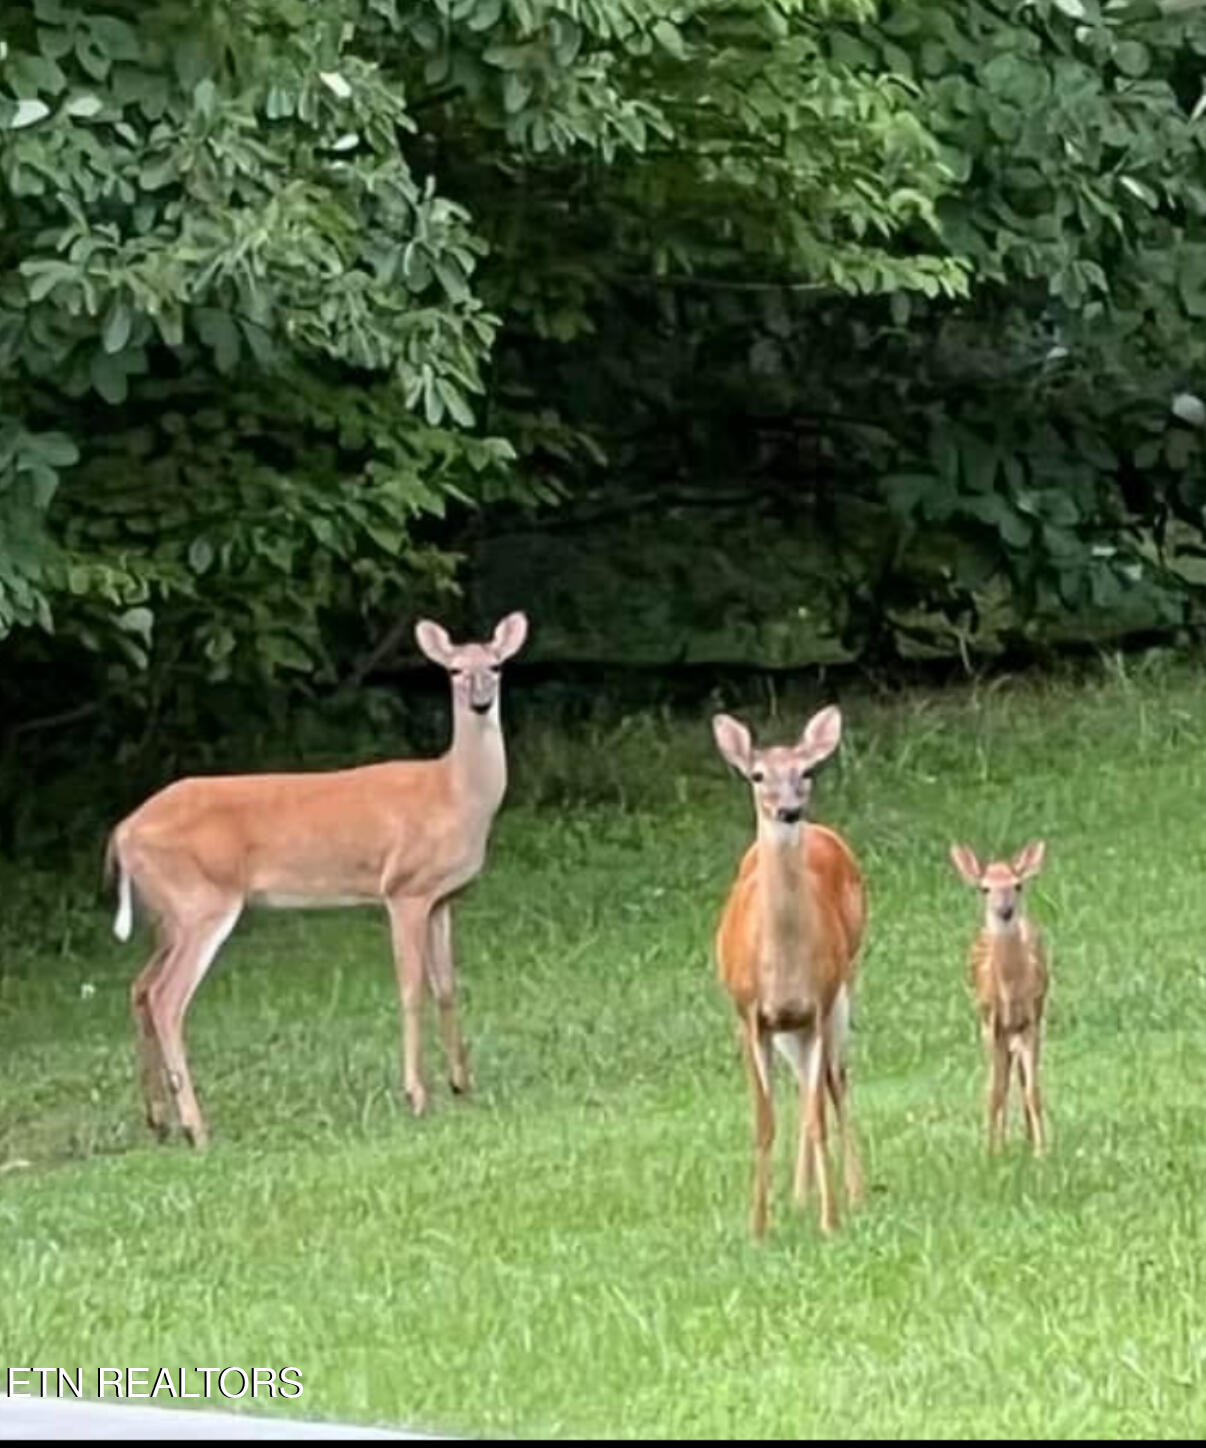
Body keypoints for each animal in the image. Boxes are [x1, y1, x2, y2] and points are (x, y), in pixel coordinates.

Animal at [104, 611, 529, 1148]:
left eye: (495, 665)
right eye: (454, 671)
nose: (480, 700)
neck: (453, 795)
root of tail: (122, 832)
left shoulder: (442, 898)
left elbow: (448, 987)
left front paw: (462, 1084)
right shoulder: (403, 889)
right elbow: (411, 987)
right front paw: (416, 1095)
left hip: (169, 914)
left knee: (140, 987)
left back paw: (159, 1120)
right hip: (201, 902)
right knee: (165, 998)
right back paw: (197, 1128)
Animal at [711, 704, 868, 1239]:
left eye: (807, 772)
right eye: (758, 775)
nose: (789, 810)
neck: (783, 966)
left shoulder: (817, 1005)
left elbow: (818, 1111)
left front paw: (831, 1220)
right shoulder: (750, 1014)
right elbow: (764, 1120)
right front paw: (758, 1227)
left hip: (843, 989)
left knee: (833, 1082)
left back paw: (850, 1192)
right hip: (785, 1028)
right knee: (803, 1087)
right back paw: (798, 1197)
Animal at [948, 840, 1049, 1157]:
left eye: (1017, 885)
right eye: (984, 888)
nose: (1005, 910)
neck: (1010, 992)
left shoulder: (1031, 1019)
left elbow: (1032, 1090)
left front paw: (1041, 1151)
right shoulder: (990, 1021)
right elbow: (995, 1089)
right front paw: (992, 1152)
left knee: (1018, 1076)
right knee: (1002, 1080)